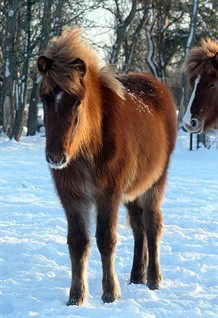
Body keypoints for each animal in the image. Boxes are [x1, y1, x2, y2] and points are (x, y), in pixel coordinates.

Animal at [37, 28, 177, 306]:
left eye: (77, 101)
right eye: (44, 98)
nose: (55, 157)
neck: (88, 148)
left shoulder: (108, 194)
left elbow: (105, 239)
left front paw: (110, 293)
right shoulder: (72, 195)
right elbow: (78, 242)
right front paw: (76, 297)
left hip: (155, 183)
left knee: (152, 225)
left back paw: (153, 280)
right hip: (133, 191)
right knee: (138, 228)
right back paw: (137, 276)